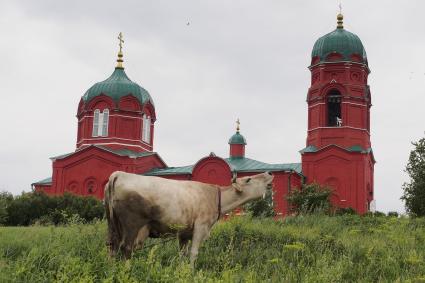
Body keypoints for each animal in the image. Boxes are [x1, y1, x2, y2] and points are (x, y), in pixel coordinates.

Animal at [104, 172, 274, 268]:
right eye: (249, 179)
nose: (269, 172)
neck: (215, 196)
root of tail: (118, 174)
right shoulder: (201, 227)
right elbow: (193, 253)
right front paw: (191, 272)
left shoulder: (184, 233)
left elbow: (182, 254)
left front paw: (181, 270)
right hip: (132, 225)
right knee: (126, 248)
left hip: (113, 226)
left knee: (112, 247)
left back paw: (111, 270)